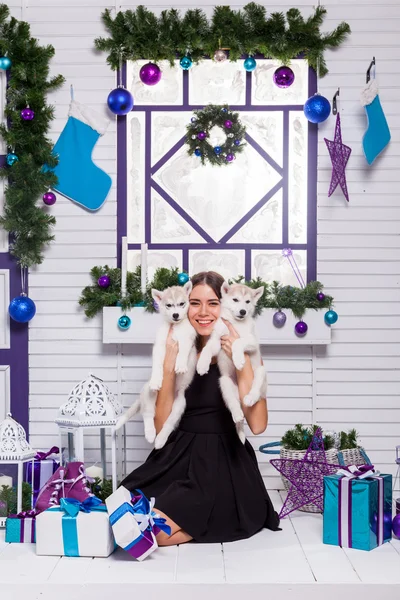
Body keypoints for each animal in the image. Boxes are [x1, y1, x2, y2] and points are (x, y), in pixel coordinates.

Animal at [115, 284, 197, 448]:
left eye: (182, 303)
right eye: (169, 305)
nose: (176, 315)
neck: (175, 327)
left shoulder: (188, 338)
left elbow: (183, 350)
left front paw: (181, 365)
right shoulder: (159, 345)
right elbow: (158, 364)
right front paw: (156, 378)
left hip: (179, 404)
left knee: (169, 423)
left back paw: (160, 440)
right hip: (148, 393)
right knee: (148, 414)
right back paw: (150, 433)